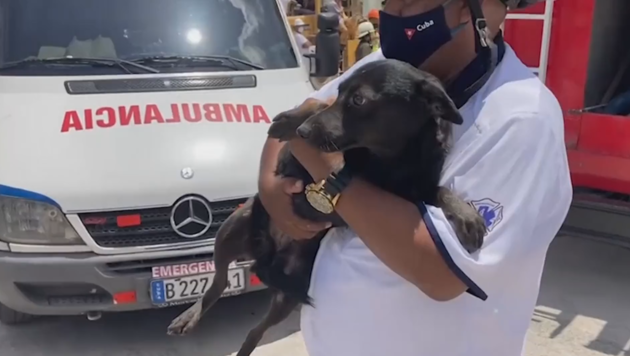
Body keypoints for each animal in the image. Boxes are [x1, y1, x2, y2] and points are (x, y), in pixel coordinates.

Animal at [165, 59, 486, 356]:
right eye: (340, 91)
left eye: (359, 100)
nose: (303, 132)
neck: (389, 158)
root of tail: (265, 254)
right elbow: (318, 104)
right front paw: (291, 119)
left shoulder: (410, 193)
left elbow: (440, 191)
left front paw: (466, 214)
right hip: (233, 228)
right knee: (217, 283)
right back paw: (189, 316)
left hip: (290, 291)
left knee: (255, 329)